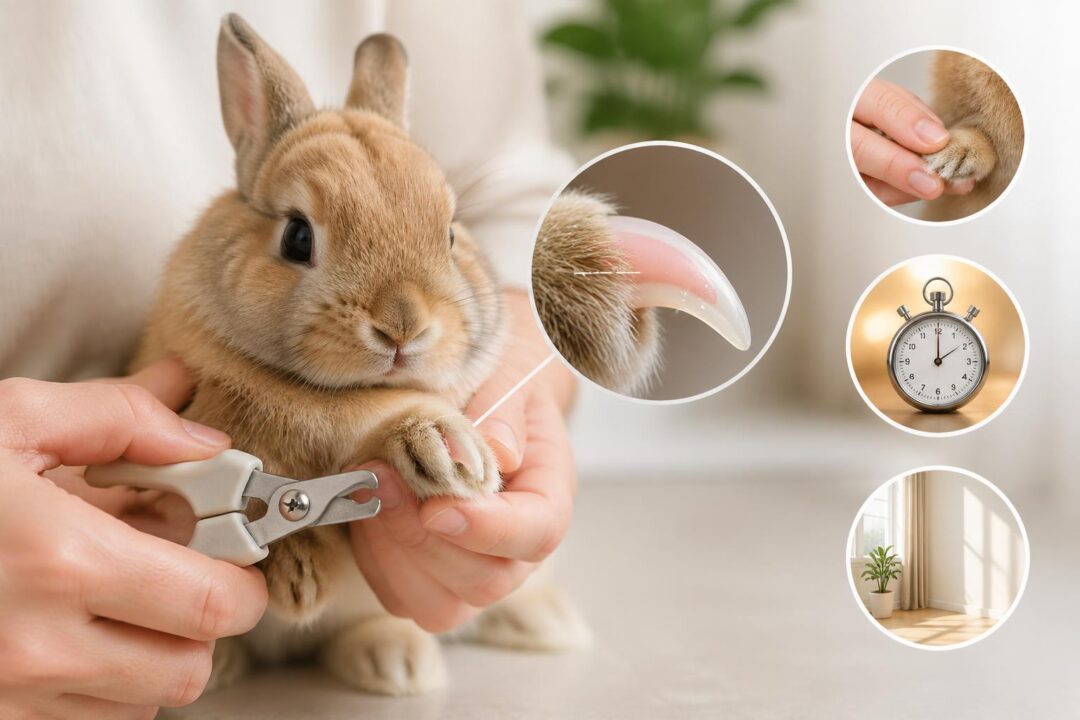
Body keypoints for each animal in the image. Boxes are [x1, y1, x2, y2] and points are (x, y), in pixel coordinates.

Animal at [133, 14, 587, 697]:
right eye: (297, 236)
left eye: (450, 232)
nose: (404, 325)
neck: (327, 395)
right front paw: (299, 583)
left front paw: (449, 457)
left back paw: (442, 652)